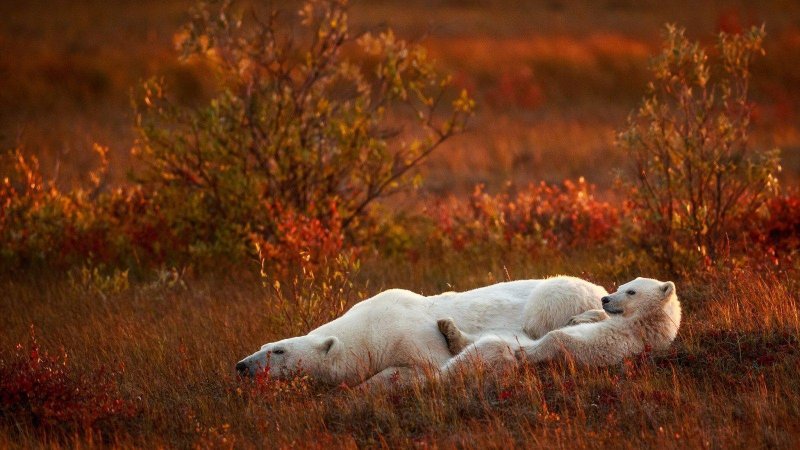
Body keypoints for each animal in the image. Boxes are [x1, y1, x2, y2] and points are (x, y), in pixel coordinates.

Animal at [236, 274, 608, 386]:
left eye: (278, 351)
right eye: (265, 345)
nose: (241, 365)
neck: (369, 328)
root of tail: (602, 287)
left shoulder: (411, 334)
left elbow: (424, 366)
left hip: (556, 295)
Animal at [438, 276, 680, 378]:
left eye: (631, 291)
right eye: (621, 286)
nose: (605, 299)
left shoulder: (626, 340)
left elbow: (568, 341)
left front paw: (527, 353)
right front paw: (579, 318)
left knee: (493, 346)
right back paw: (448, 328)